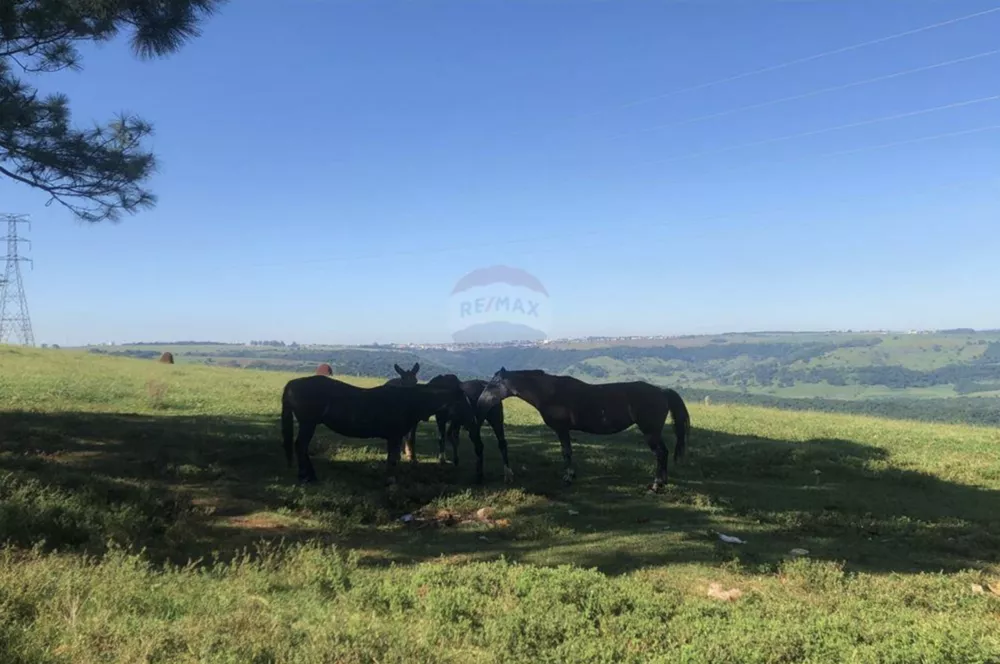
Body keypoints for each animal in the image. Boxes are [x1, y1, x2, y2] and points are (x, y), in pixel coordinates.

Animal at [280, 374, 462, 482]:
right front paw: (391, 479)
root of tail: (292, 384)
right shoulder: (394, 436)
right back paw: (306, 476)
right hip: (308, 423)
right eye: (461, 400)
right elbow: (392, 459)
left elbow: (392, 458)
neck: (409, 400)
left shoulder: (394, 437)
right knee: (300, 446)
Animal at [476, 368, 688, 492]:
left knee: (660, 453)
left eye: (493, 385)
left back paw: (656, 485)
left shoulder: (562, 429)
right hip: (654, 432)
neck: (551, 393)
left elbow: (566, 452)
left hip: (650, 432)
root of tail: (662, 391)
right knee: (664, 452)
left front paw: (568, 478)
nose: (479, 403)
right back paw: (663, 481)